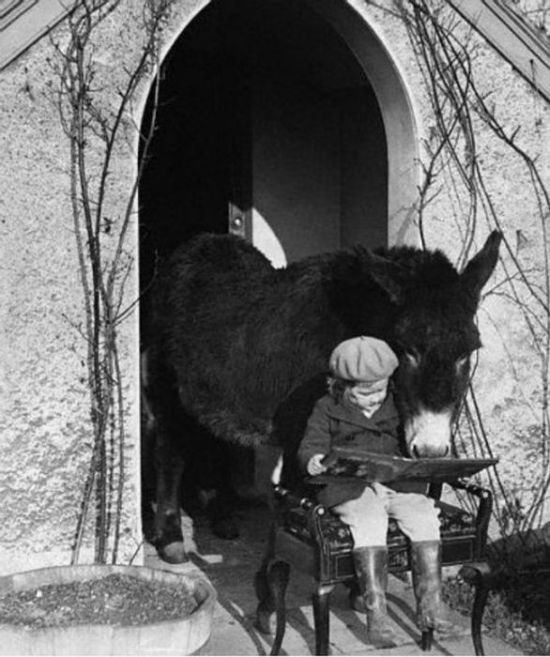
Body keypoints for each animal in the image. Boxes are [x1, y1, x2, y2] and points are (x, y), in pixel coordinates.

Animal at [142, 230, 502, 563]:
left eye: (468, 352)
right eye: (409, 349)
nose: (431, 450)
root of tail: (195, 245)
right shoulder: (302, 432)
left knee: (212, 438)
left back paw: (221, 516)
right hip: (166, 389)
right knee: (170, 453)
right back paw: (171, 538)